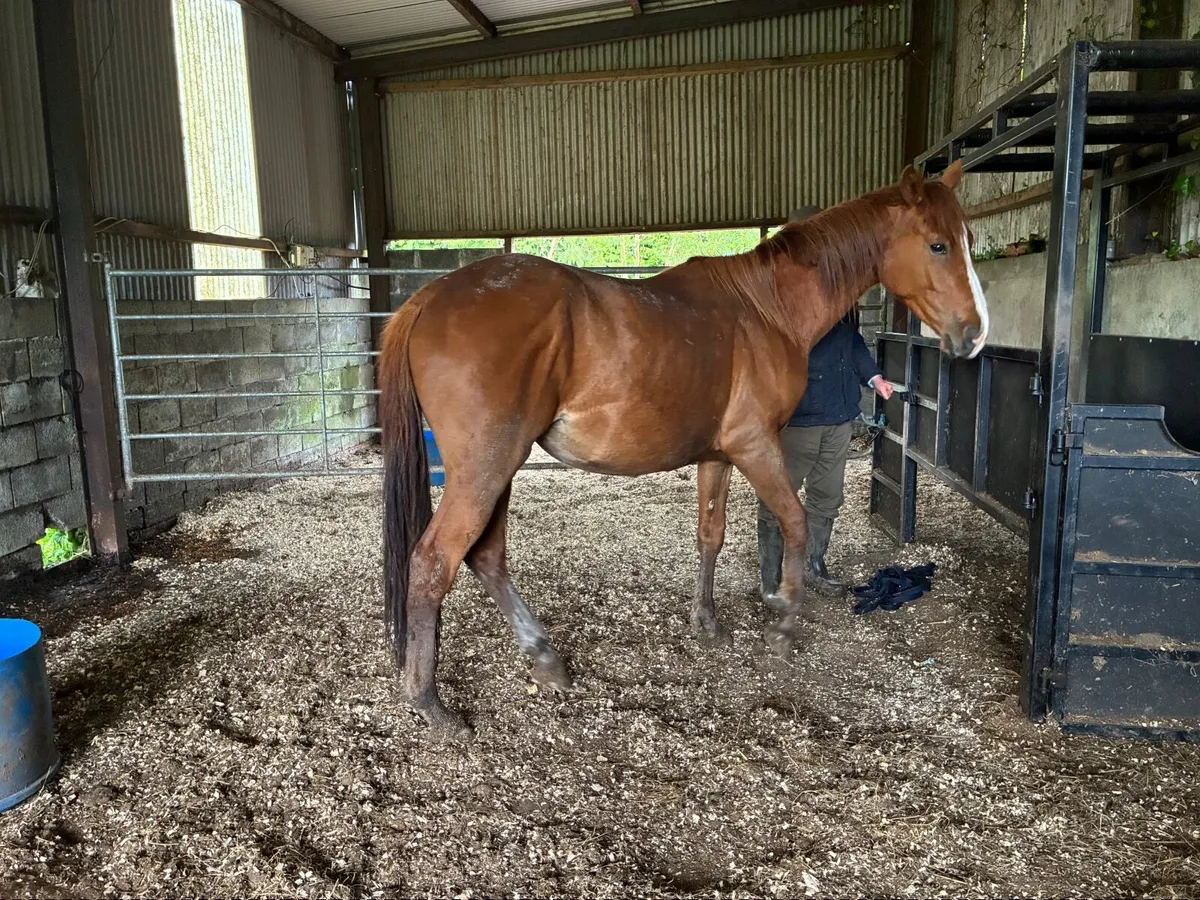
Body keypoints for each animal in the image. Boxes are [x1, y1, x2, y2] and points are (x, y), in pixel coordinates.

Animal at [377, 159, 987, 739]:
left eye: (968, 239)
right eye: (938, 244)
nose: (975, 335)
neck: (764, 307)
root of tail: (429, 297)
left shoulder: (717, 455)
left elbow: (710, 534)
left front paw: (708, 621)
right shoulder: (756, 445)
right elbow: (793, 522)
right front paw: (784, 625)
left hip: (499, 468)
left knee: (485, 557)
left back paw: (545, 660)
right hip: (486, 467)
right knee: (434, 562)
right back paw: (431, 706)